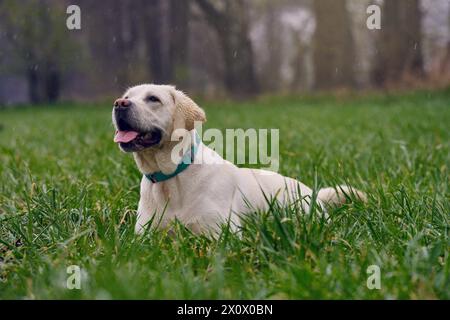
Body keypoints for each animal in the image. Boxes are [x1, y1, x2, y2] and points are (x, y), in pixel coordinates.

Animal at [112, 84, 366, 235]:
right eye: (126, 97)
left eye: (153, 98)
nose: (119, 104)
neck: (172, 178)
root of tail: (312, 192)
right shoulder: (145, 238)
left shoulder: (220, 234)